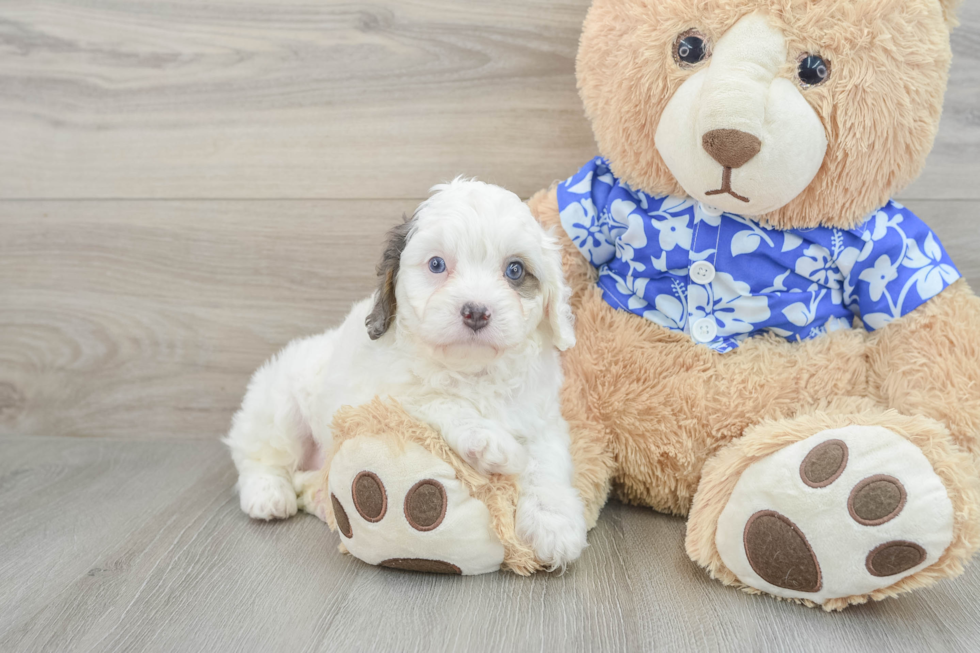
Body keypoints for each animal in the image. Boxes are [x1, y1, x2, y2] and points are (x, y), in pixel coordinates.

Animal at [226, 181, 584, 568]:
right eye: (437, 264)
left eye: (515, 271)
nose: (476, 311)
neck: (471, 371)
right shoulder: (375, 398)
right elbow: (434, 400)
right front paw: (488, 440)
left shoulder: (542, 419)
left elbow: (545, 463)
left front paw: (554, 522)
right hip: (278, 406)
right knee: (260, 455)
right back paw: (268, 493)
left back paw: (321, 501)